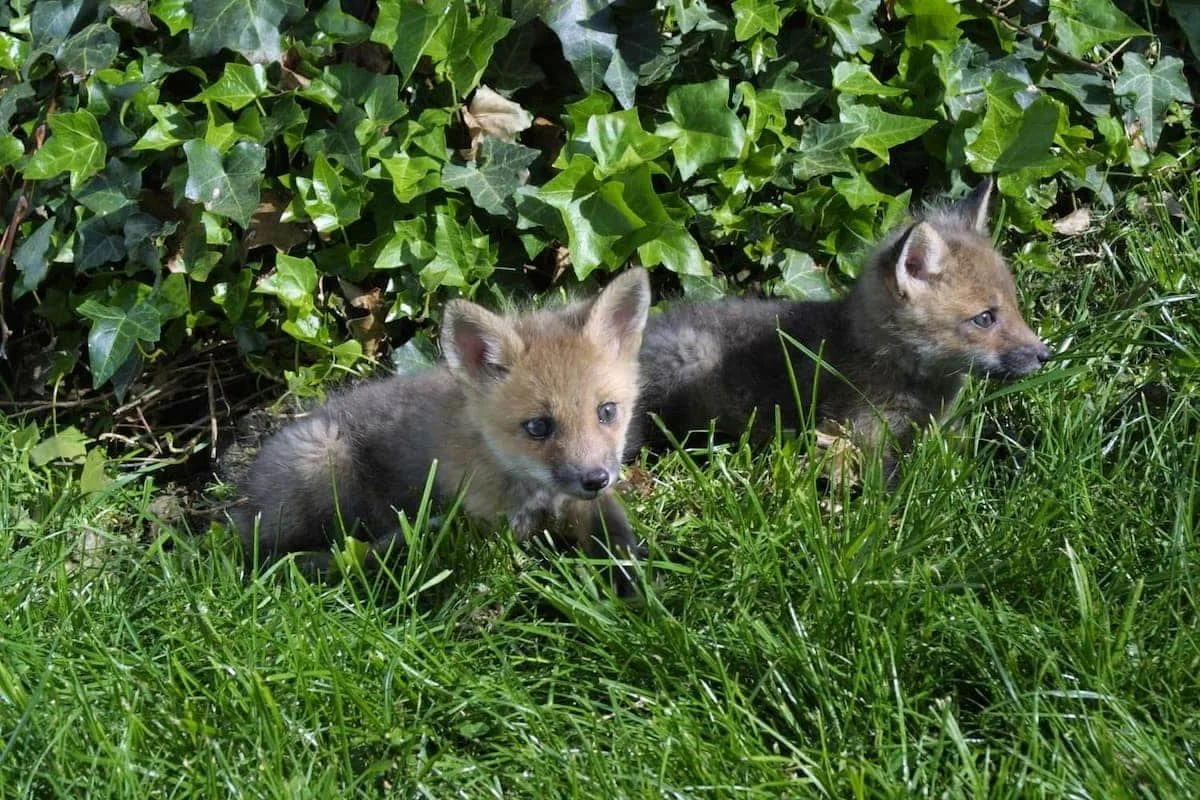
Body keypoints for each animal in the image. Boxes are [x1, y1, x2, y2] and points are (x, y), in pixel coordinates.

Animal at [234, 268, 651, 591]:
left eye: (607, 411)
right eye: (538, 426)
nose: (595, 478)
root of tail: (242, 506)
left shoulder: (583, 504)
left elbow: (614, 534)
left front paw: (634, 586)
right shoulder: (495, 525)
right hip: (323, 459)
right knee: (294, 558)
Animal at [630, 179, 1052, 478]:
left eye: (1015, 307)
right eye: (985, 318)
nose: (1046, 355)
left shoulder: (943, 430)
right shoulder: (859, 432)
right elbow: (889, 486)